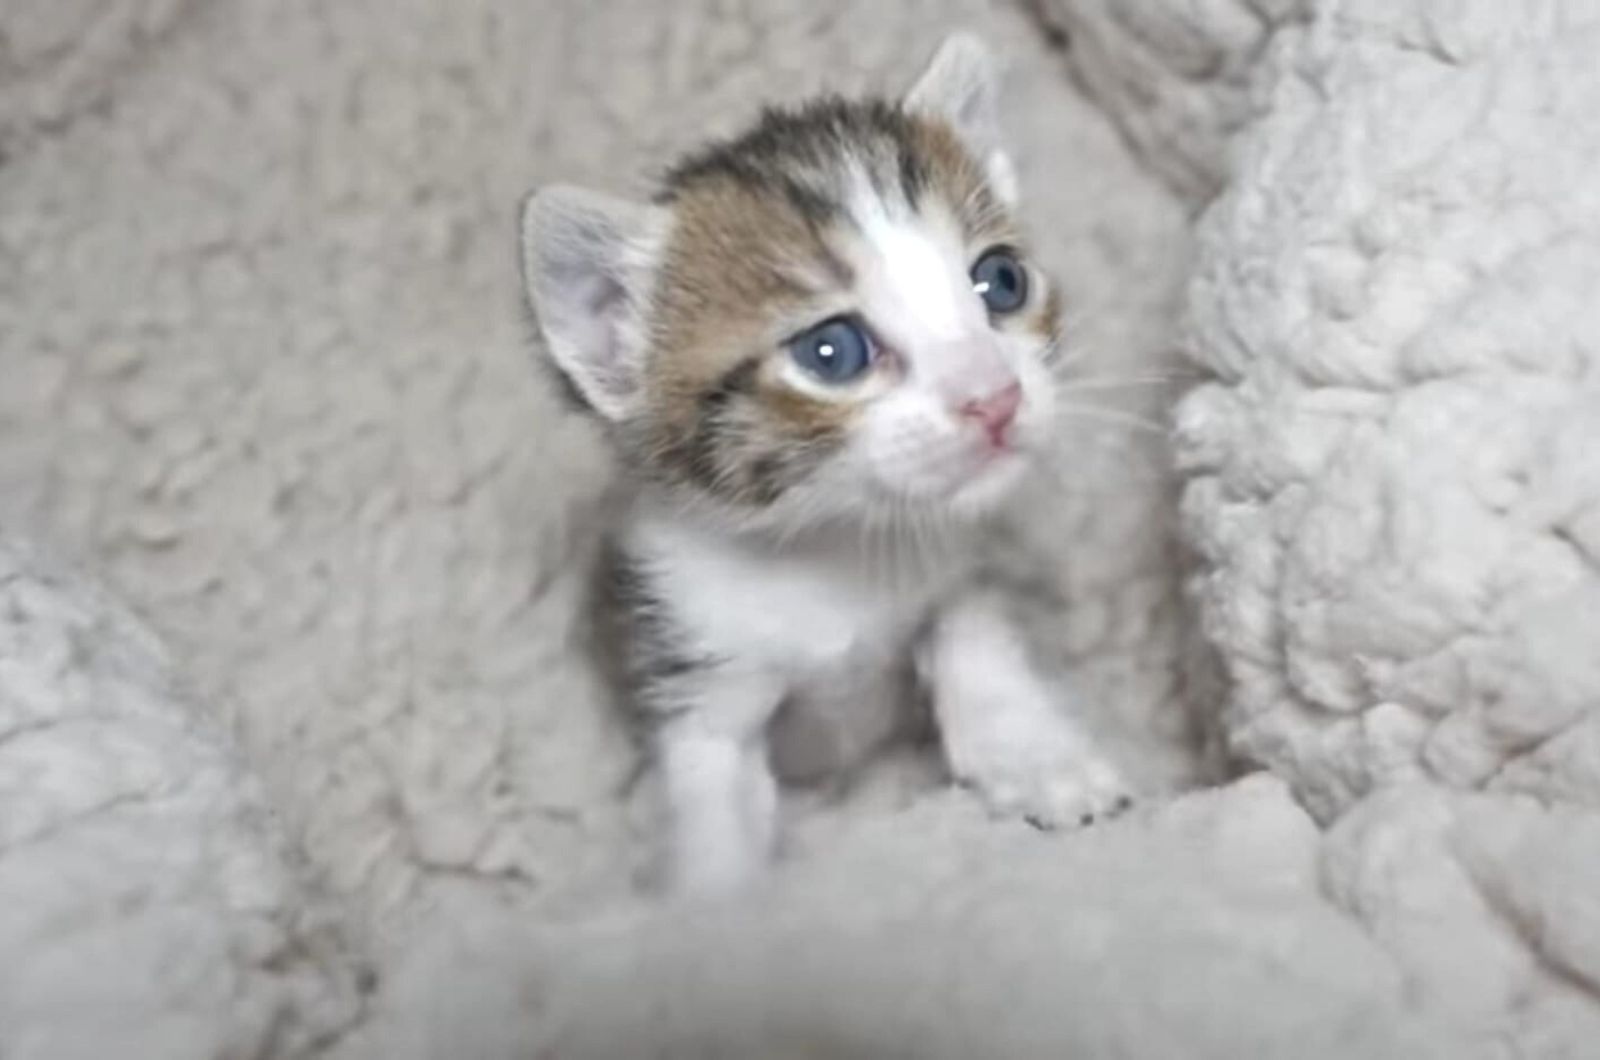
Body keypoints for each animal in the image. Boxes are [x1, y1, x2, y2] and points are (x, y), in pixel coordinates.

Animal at [518, 35, 1132, 896]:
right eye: (831, 352)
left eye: (1002, 282)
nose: (995, 398)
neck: (833, 545)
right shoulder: (696, 664)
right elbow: (715, 806)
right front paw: (716, 903)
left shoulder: (959, 569)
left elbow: (977, 646)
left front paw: (1039, 760)